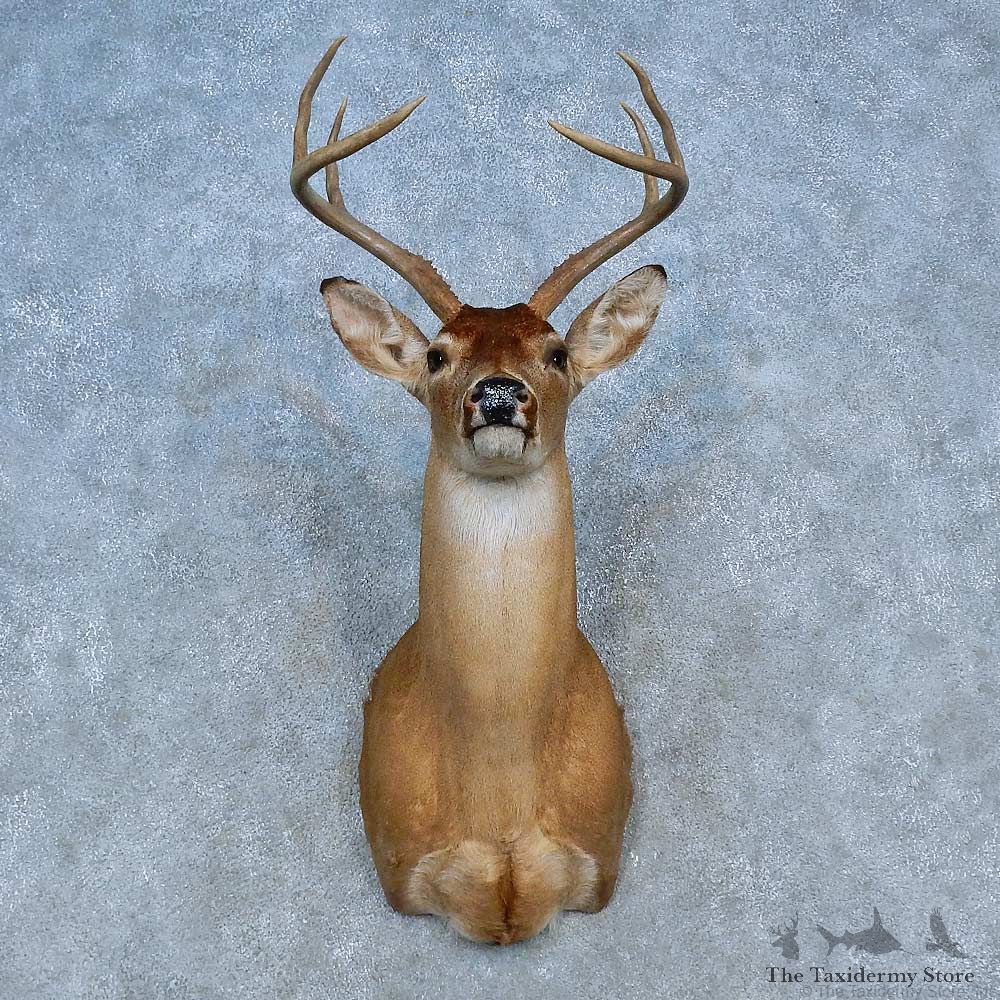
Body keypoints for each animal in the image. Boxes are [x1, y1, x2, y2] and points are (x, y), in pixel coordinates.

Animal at [290, 37, 688, 945]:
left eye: (558, 352)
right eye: (438, 355)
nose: (499, 394)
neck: (500, 793)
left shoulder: (600, 860)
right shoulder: (401, 865)